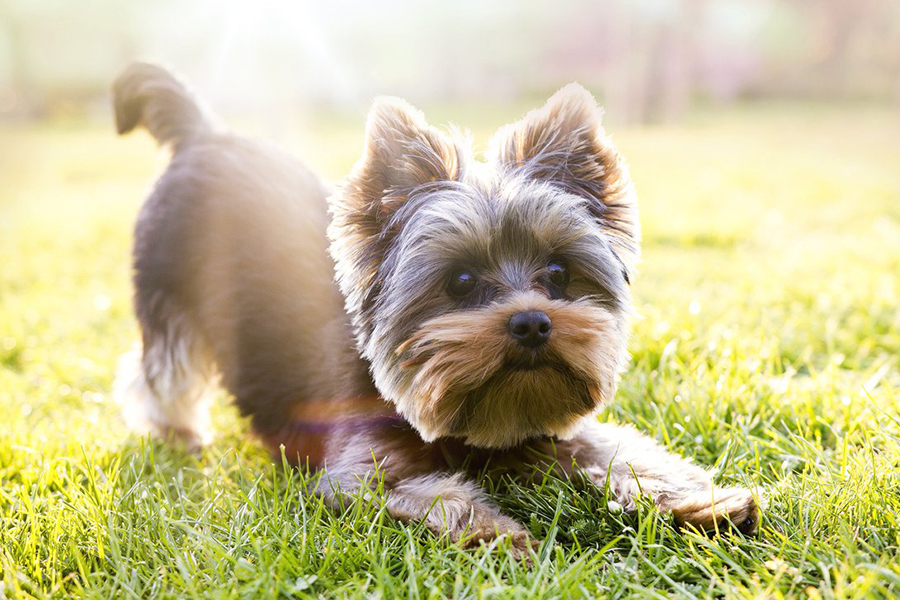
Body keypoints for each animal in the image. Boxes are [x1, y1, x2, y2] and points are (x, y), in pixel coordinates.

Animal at [112, 63, 760, 556]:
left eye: (557, 274)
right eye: (461, 280)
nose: (532, 321)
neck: (474, 424)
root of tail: (202, 134)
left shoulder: (549, 429)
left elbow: (623, 455)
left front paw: (702, 502)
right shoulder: (359, 474)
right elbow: (436, 496)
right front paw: (502, 535)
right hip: (166, 292)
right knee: (160, 370)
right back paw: (177, 433)